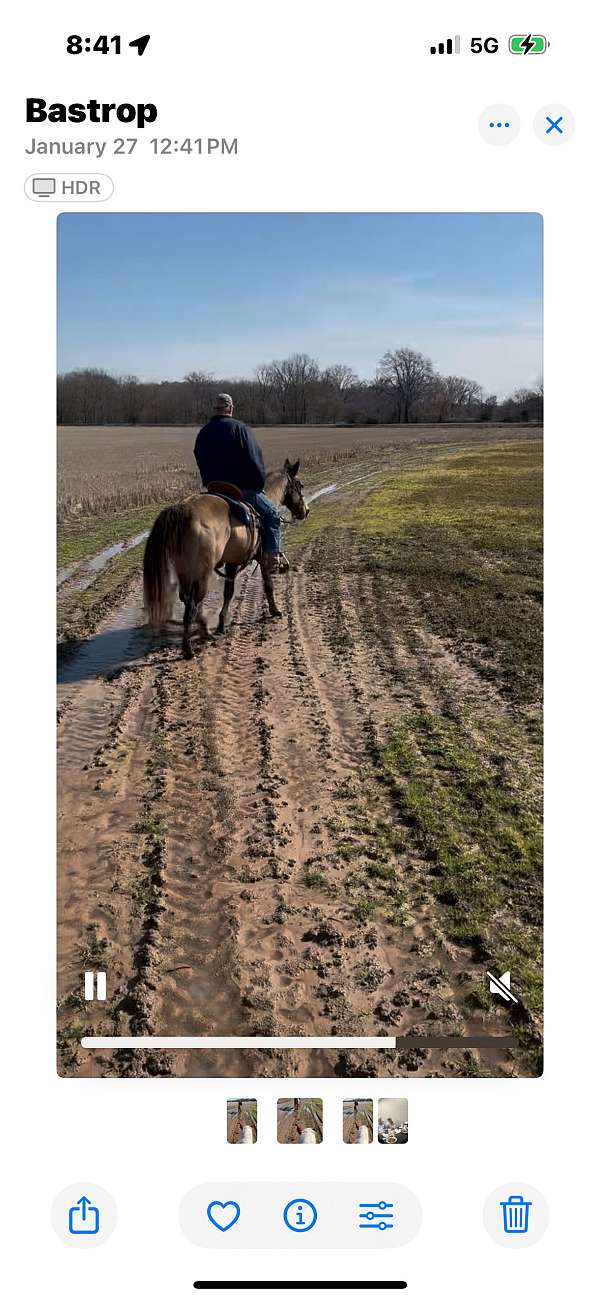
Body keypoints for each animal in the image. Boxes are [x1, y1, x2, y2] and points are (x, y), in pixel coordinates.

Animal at [141, 460, 305, 660]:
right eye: (299, 485)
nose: (305, 511)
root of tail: (182, 510)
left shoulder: (232, 563)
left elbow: (228, 592)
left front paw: (220, 625)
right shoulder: (262, 557)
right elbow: (268, 585)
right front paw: (275, 611)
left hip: (185, 571)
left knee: (188, 600)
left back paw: (204, 630)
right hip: (202, 572)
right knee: (192, 605)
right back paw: (190, 647)